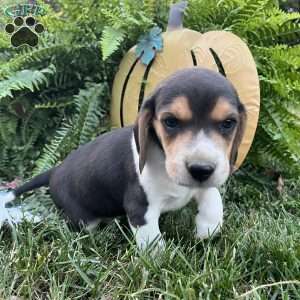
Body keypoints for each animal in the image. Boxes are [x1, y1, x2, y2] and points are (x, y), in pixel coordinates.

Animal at [2, 68, 246, 251]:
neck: (164, 160)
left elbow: (213, 198)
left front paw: (207, 228)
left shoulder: (200, 185)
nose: (201, 169)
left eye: (228, 123)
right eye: (170, 121)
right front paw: (160, 263)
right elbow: (153, 243)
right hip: (82, 219)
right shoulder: (140, 208)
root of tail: (55, 170)